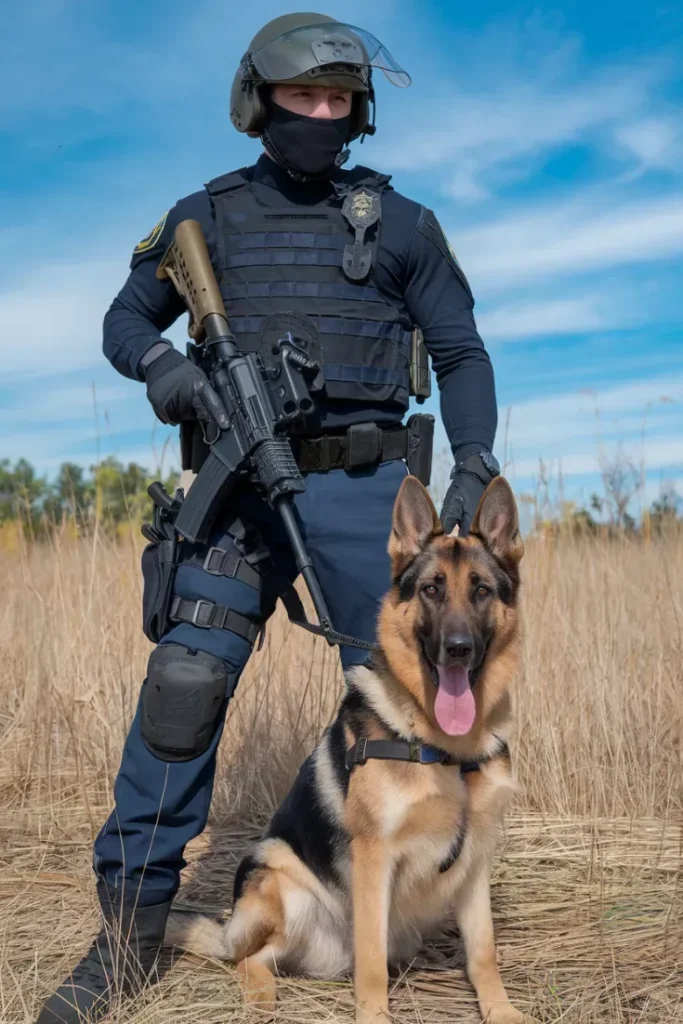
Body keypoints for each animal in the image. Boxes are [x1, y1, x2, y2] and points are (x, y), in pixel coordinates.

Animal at [166, 475, 540, 1019]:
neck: (446, 748)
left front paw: (501, 1011)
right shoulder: (374, 857)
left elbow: (484, 951)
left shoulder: (475, 862)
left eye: (482, 591)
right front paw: (375, 1016)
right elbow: (371, 962)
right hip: (280, 878)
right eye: (431, 590)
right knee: (248, 958)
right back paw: (261, 996)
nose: (458, 648)